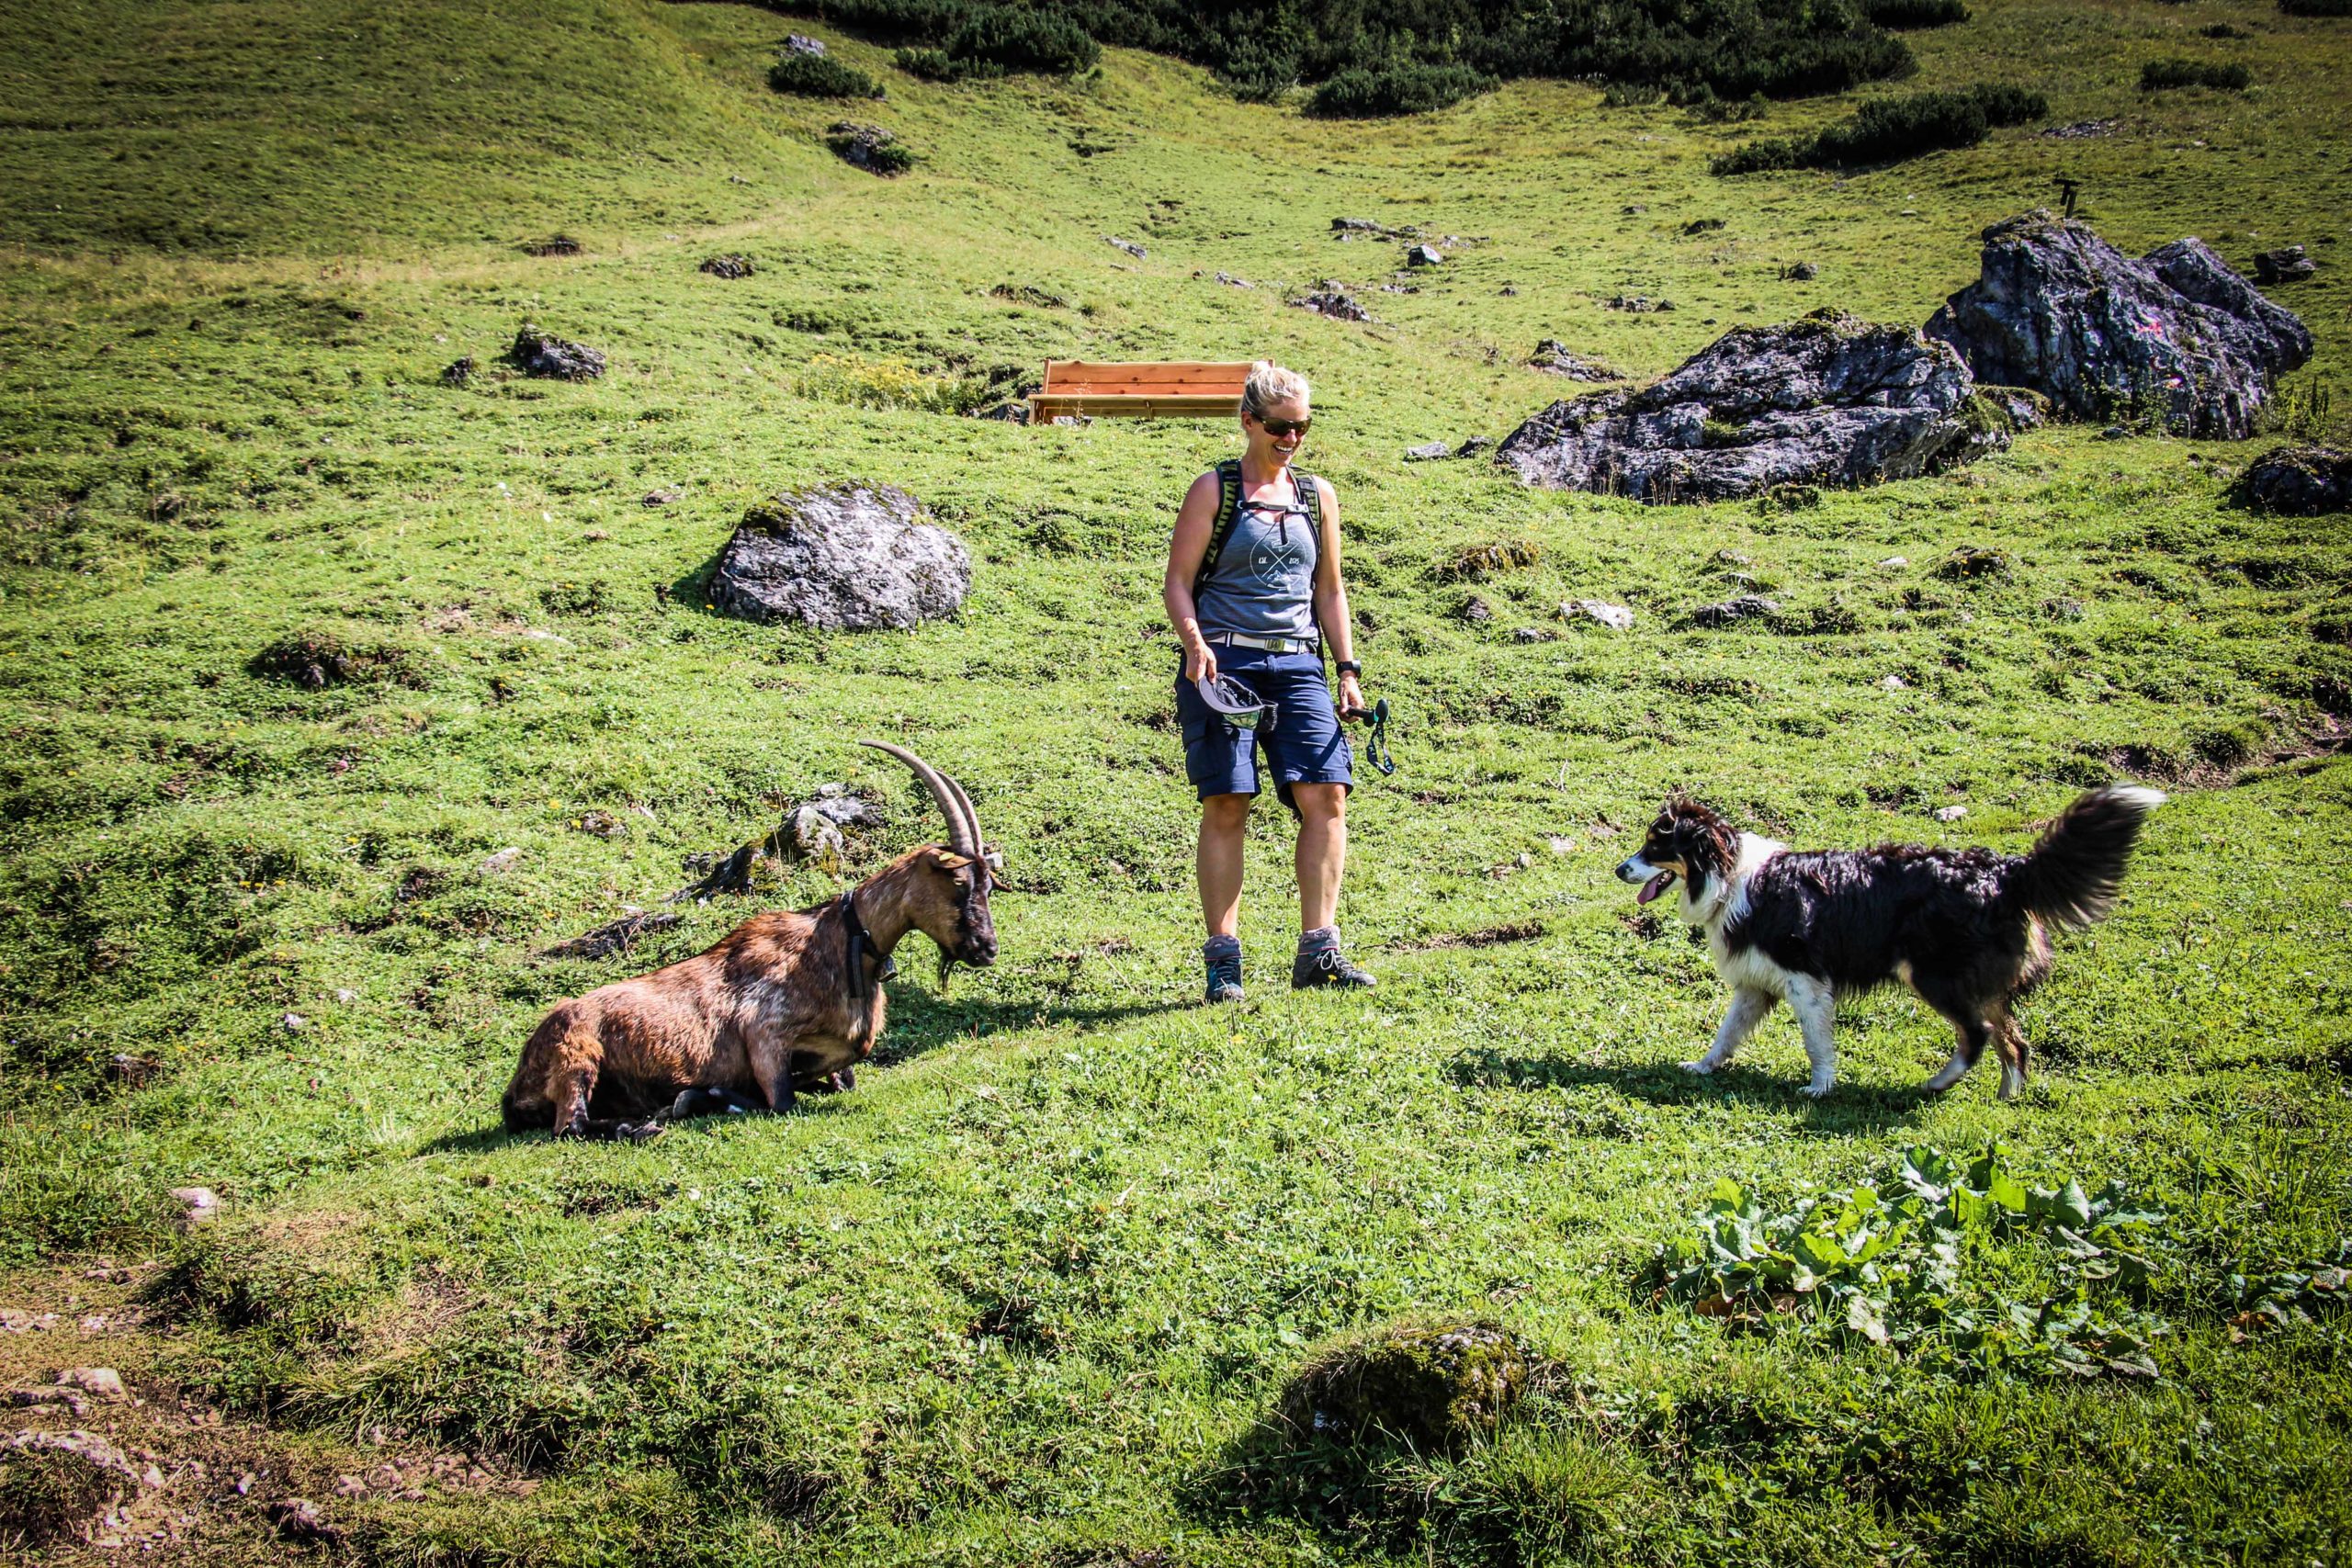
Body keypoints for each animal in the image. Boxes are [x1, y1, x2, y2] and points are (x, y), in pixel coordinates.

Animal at [501, 747, 997, 1142]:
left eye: (989, 885)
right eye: (958, 882)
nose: (987, 948)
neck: (838, 944)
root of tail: (516, 1086)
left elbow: (839, 1078)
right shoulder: (764, 1036)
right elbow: (781, 1100)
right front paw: (706, 1096)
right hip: (577, 1053)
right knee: (571, 1125)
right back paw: (647, 1122)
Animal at [1618, 784, 2164, 1104]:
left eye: (1656, 846)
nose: (1620, 868)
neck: (1729, 877)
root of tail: (2006, 871)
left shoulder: (1806, 981)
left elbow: (1817, 1043)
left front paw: (1820, 1087)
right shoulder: (1755, 986)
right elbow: (1726, 1035)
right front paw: (1702, 1067)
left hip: (1933, 975)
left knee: (1980, 1033)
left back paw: (1939, 1082)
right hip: (1975, 980)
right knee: (2013, 1037)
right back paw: (2008, 1096)